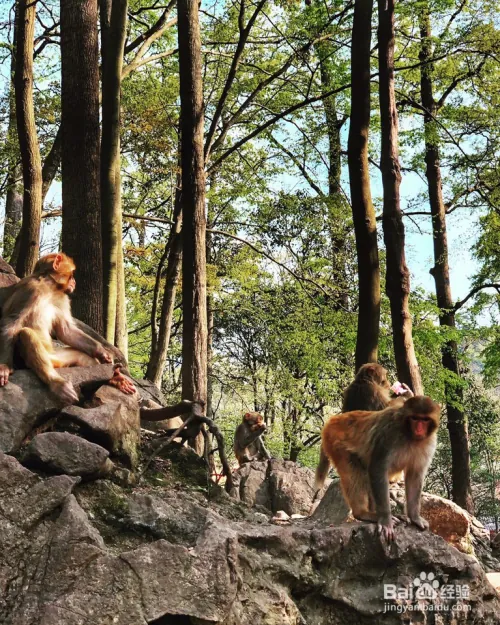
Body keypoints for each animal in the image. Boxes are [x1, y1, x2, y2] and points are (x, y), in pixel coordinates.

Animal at [0, 251, 136, 402]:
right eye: (71, 274)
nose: (74, 282)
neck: (50, 288)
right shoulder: (30, 289)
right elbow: (12, 322)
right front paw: (4, 367)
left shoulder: (62, 298)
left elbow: (66, 331)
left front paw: (102, 353)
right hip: (28, 362)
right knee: (25, 334)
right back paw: (57, 383)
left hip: (57, 358)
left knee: (80, 355)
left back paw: (114, 377)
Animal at [314, 398, 440, 540]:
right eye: (415, 418)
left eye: (425, 420)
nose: (419, 428)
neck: (409, 435)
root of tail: (334, 419)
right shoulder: (389, 435)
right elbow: (378, 469)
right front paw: (385, 520)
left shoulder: (429, 443)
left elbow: (415, 476)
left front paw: (415, 517)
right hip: (335, 442)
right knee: (355, 471)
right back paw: (363, 513)